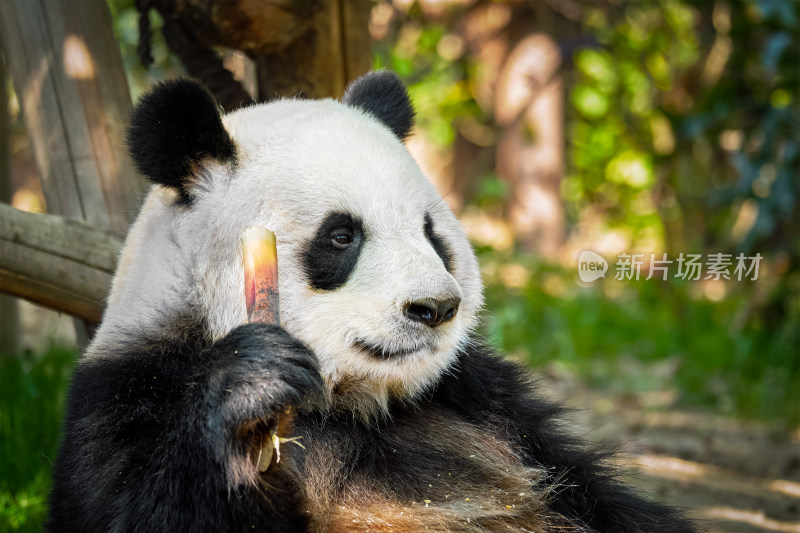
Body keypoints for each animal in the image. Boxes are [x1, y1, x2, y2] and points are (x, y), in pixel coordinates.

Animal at [47, 71, 696, 532]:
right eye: (341, 236)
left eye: (431, 233)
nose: (435, 308)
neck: (351, 404)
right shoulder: (129, 398)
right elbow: (132, 509)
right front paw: (255, 380)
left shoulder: (489, 402)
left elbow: (599, 497)